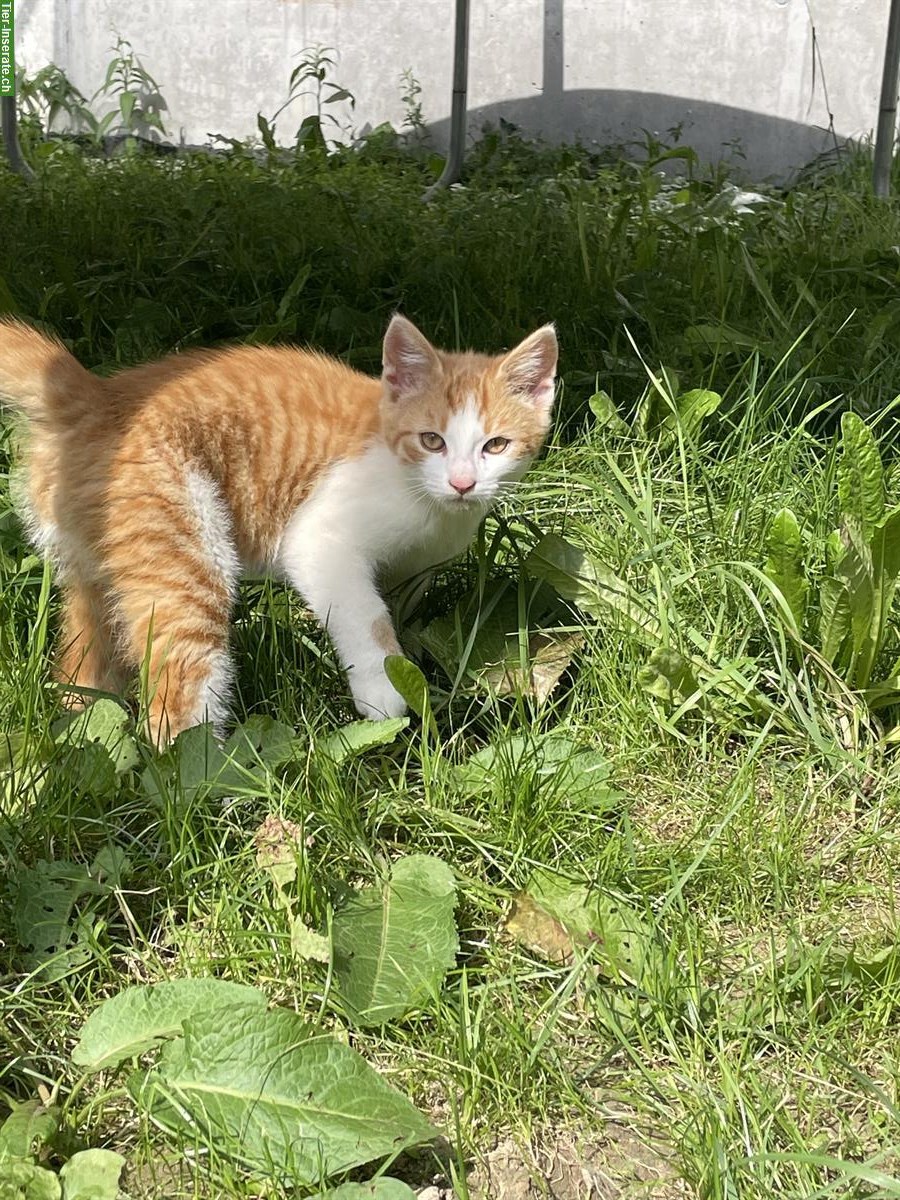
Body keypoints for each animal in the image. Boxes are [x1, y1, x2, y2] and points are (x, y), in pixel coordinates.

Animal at [0, 312, 561, 739]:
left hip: (98, 557)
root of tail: (97, 396)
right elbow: (365, 613)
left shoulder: (416, 566)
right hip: (181, 542)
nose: (464, 483)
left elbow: (397, 600)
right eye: (432, 441)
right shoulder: (321, 537)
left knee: (87, 648)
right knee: (180, 683)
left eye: (495, 445)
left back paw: (83, 717)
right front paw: (385, 692)